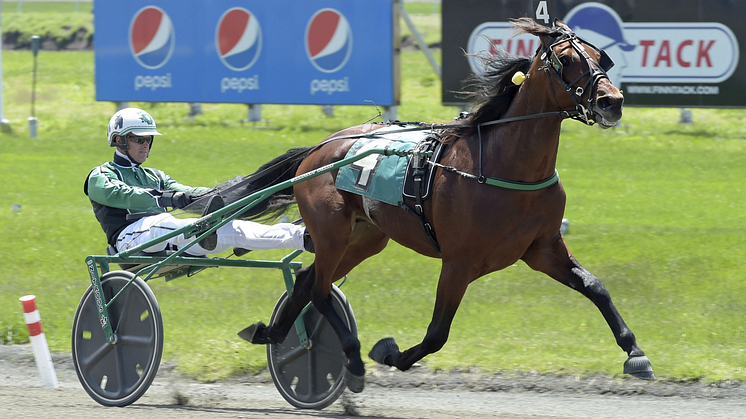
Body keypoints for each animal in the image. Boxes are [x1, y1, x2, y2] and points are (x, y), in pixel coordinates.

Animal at [208, 18, 652, 394]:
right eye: (567, 60)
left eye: (601, 57)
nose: (613, 101)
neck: (507, 166)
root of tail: (321, 147)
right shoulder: (459, 261)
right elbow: (438, 332)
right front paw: (390, 353)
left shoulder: (542, 249)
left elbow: (595, 287)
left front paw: (635, 352)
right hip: (332, 230)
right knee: (318, 288)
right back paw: (351, 358)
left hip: (365, 237)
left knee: (305, 281)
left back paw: (271, 333)